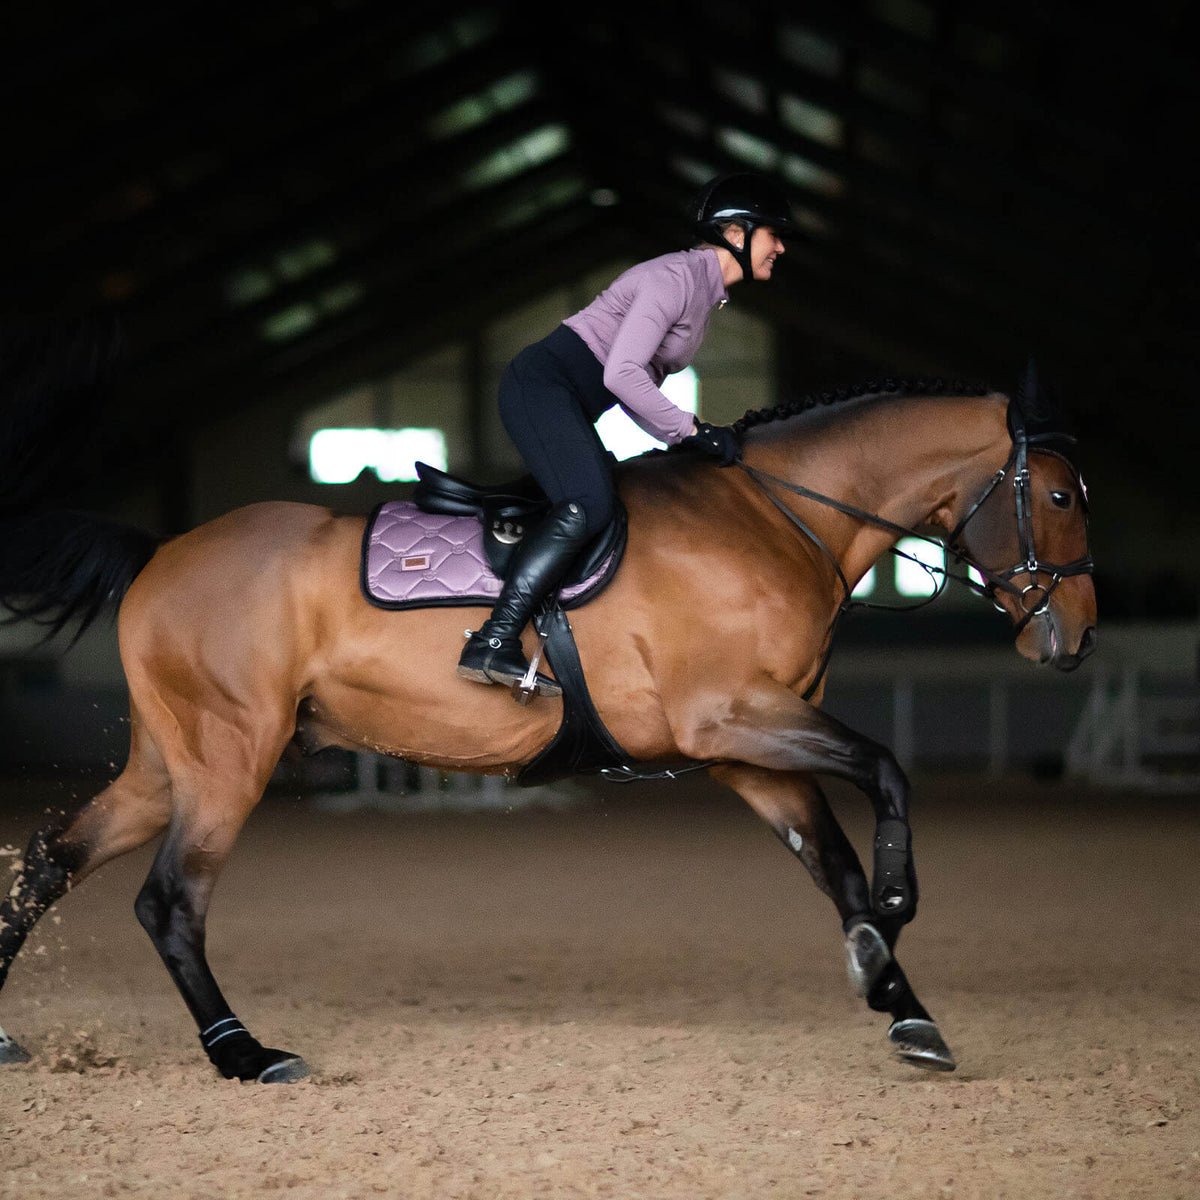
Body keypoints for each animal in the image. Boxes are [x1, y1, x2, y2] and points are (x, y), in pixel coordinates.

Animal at [0, 367, 1096, 1083]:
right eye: (1055, 493)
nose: (1077, 637)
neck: (772, 517)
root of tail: (158, 552)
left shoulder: (743, 750)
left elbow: (834, 867)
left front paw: (900, 1002)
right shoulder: (732, 716)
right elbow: (885, 770)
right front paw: (897, 917)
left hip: (169, 765)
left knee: (51, 859)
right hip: (230, 759)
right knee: (170, 903)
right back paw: (245, 1052)